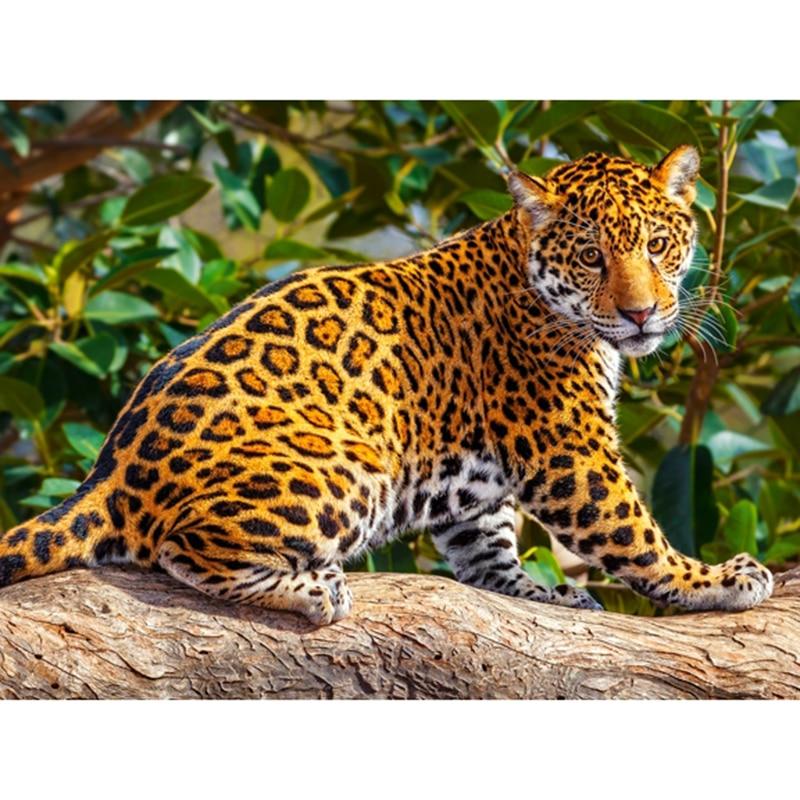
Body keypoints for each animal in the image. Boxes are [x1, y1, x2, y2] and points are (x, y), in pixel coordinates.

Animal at [0, 144, 773, 625]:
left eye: (657, 246)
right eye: (591, 256)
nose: (642, 313)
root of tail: (106, 474)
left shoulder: (479, 488)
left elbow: (486, 552)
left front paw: (542, 595)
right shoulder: (571, 452)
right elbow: (635, 536)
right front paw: (714, 580)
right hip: (349, 464)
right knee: (183, 548)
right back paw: (313, 592)